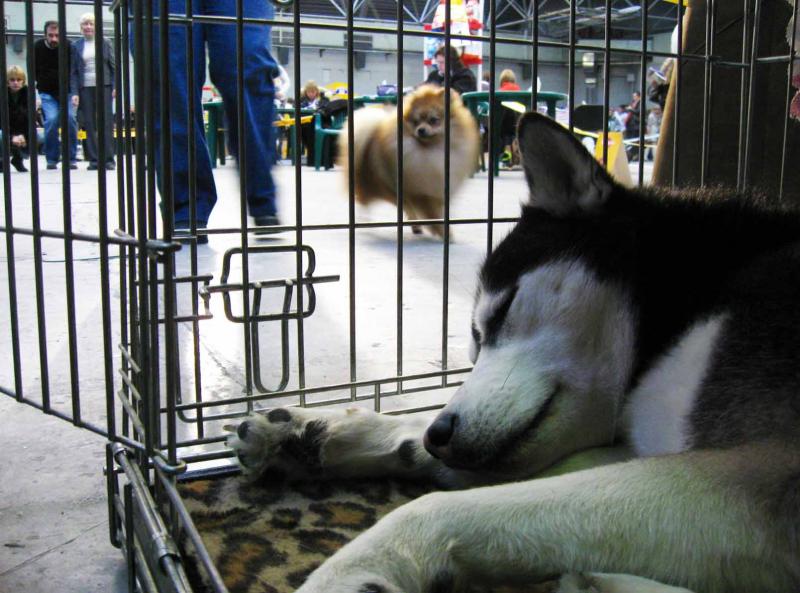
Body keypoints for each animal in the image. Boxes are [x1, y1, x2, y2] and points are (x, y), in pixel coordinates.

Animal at [229, 113, 800, 593]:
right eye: (474, 340)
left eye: (502, 312)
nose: (440, 436)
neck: (690, 302)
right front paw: (316, 433)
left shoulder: (750, 483)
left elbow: (442, 508)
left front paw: (360, 565)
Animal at [338, 84, 479, 238]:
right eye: (416, 122)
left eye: (433, 120)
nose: (421, 130)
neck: (432, 151)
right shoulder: (422, 194)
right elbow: (433, 215)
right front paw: (443, 233)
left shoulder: (437, 192)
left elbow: (438, 213)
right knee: (364, 204)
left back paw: (416, 227)